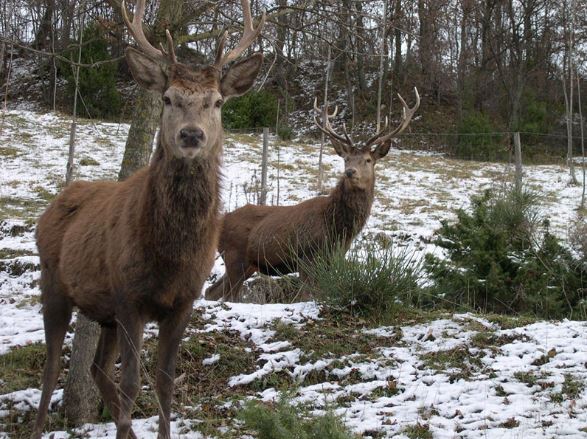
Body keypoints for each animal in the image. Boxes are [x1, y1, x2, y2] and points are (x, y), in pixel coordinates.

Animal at [29, 1, 264, 438]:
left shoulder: (184, 299)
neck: (169, 258)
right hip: (54, 282)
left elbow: (165, 381)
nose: (191, 135)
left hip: (102, 311)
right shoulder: (129, 297)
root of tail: (54, 203)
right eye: (169, 98)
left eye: (217, 102)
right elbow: (132, 383)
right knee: (53, 370)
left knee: (95, 368)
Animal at [204, 88, 420, 302]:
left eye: (368, 159)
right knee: (226, 295)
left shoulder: (333, 258)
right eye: (346, 158)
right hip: (234, 256)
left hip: (247, 264)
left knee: (212, 291)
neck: (337, 228)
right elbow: (305, 296)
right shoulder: (307, 256)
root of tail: (220, 222)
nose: (350, 172)